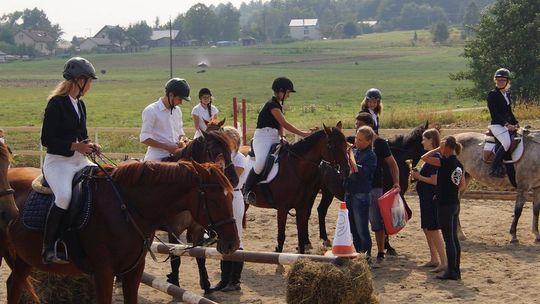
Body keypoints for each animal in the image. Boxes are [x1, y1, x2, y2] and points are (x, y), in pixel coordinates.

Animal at [3, 160, 237, 302]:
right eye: (215, 200)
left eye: (232, 196)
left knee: (14, 284)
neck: (125, 206)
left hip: (25, 258)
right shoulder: (104, 272)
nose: (232, 244)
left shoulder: (133, 270)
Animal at [246, 123, 348, 254]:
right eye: (332, 145)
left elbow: (300, 236)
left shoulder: (301, 207)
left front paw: (303, 247)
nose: (347, 170)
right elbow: (281, 236)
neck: (295, 169)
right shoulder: (282, 209)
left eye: (345, 144)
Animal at [310, 122, 428, 251]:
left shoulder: (396, 194)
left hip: (328, 192)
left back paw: (324, 238)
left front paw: (386, 244)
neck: (399, 159)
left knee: (321, 210)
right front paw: (387, 245)